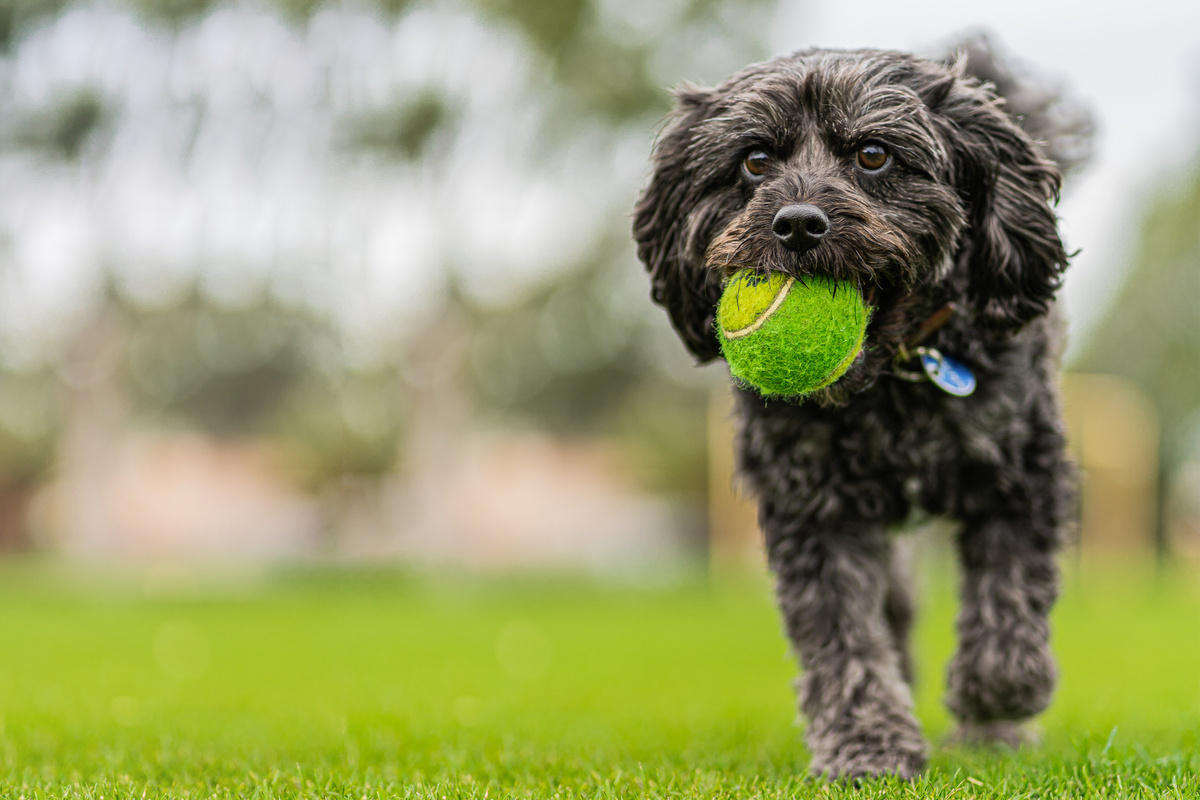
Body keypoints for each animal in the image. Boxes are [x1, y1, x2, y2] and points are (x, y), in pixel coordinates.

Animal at [633, 45, 1094, 782]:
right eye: (754, 160)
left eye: (874, 154)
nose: (797, 223)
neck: (888, 387)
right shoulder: (815, 511)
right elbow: (844, 639)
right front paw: (867, 744)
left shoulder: (1024, 472)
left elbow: (1009, 600)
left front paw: (995, 697)